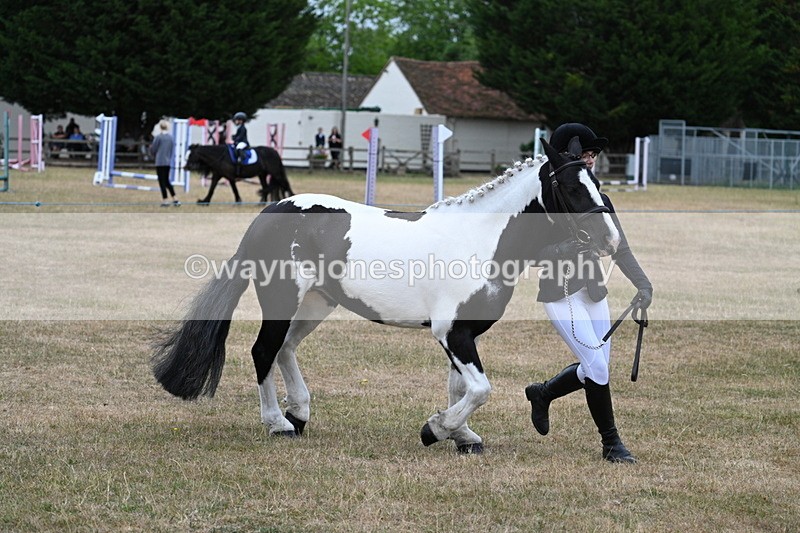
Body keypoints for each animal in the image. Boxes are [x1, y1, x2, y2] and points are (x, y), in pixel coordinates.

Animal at [152, 137, 621, 454]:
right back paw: (278, 424)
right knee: (263, 351)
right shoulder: (451, 333)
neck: (482, 240)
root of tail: (270, 213)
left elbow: (460, 386)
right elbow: (480, 389)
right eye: (573, 188)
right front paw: (435, 429)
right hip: (282, 300)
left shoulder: (462, 334)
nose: (610, 239)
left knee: (284, 349)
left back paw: (298, 414)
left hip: (317, 304)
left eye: (598, 181)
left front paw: (463, 436)